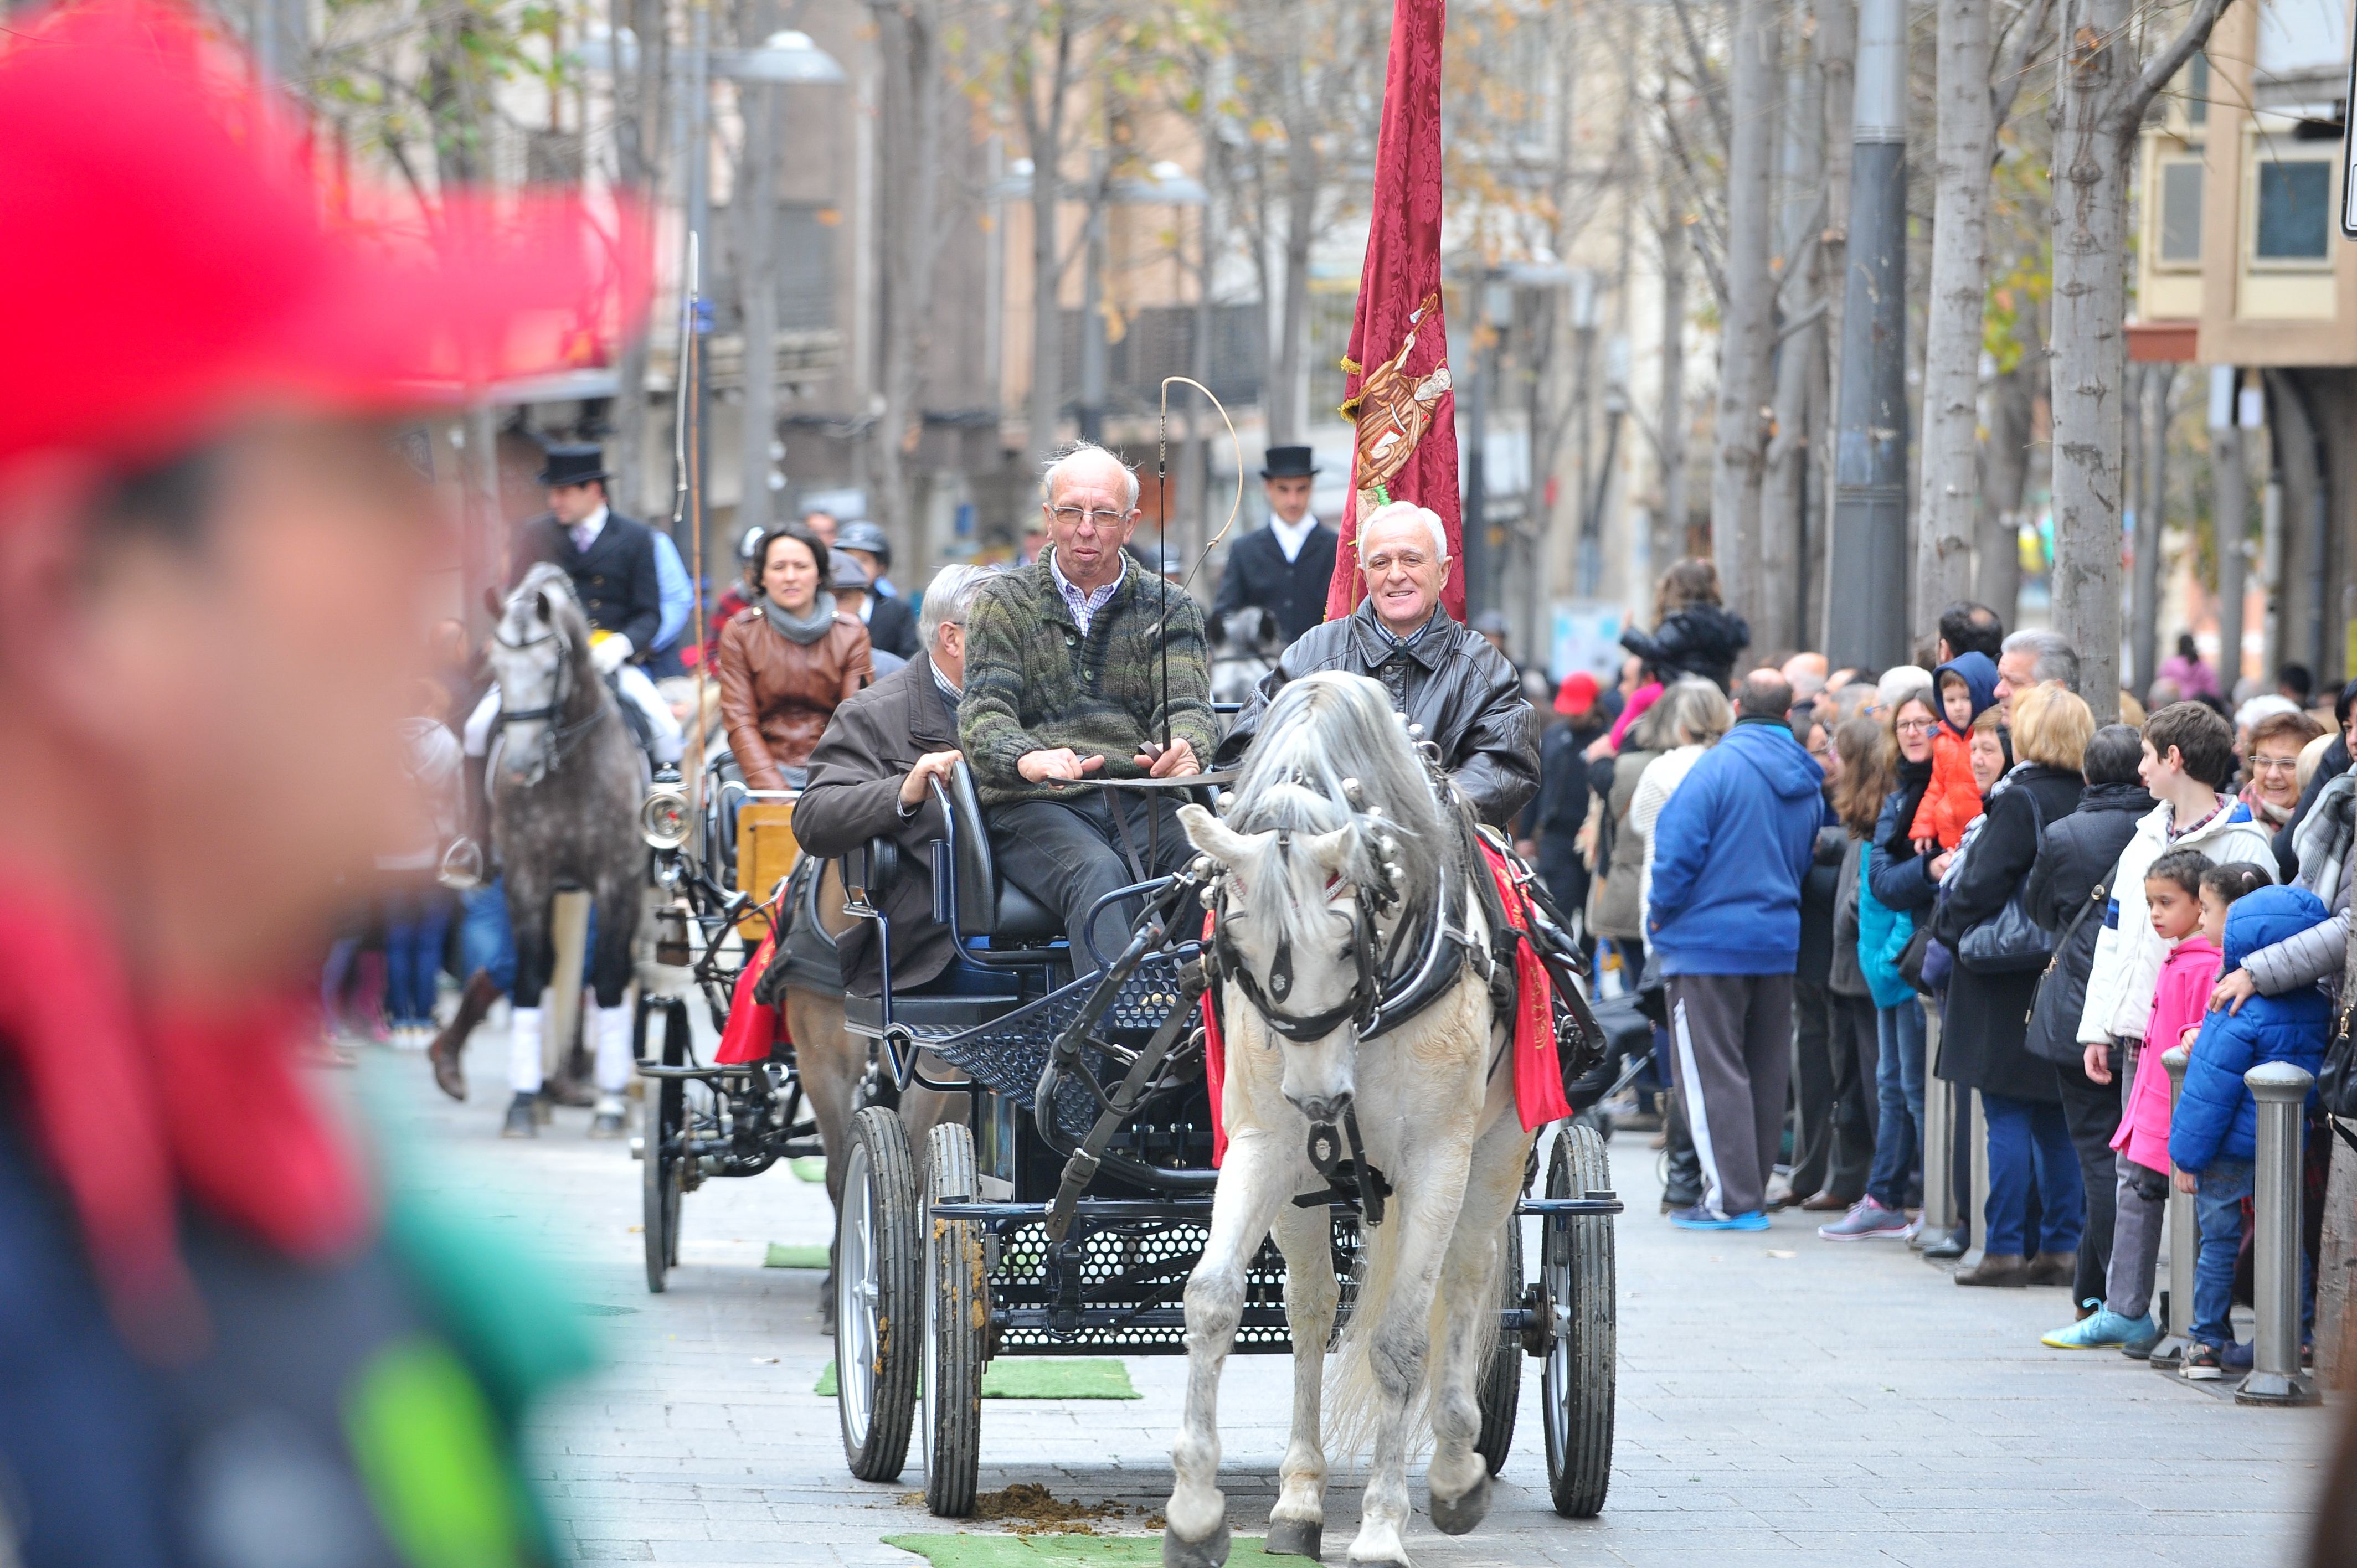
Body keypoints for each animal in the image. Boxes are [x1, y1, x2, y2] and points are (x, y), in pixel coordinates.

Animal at [483, 563, 646, 1136]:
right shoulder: (526, 880)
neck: (570, 767)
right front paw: (522, 1103)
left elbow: (611, 977)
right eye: (496, 665)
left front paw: (612, 1107)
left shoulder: (620, 882)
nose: (519, 765)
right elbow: (532, 975)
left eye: (551, 664)